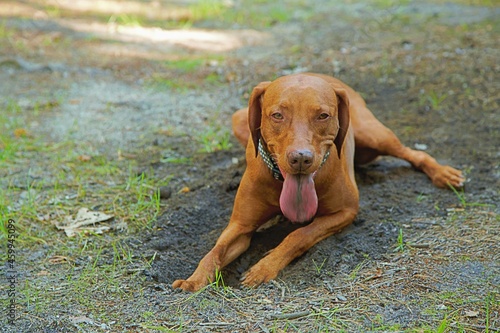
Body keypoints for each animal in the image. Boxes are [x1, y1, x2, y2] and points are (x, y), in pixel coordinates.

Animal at [173, 72, 464, 290]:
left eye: (323, 115)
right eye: (277, 115)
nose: (301, 158)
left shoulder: (346, 211)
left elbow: (300, 235)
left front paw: (264, 267)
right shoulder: (240, 226)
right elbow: (215, 251)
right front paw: (193, 280)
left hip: (375, 134)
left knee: (413, 153)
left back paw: (443, 173)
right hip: (238, 119)